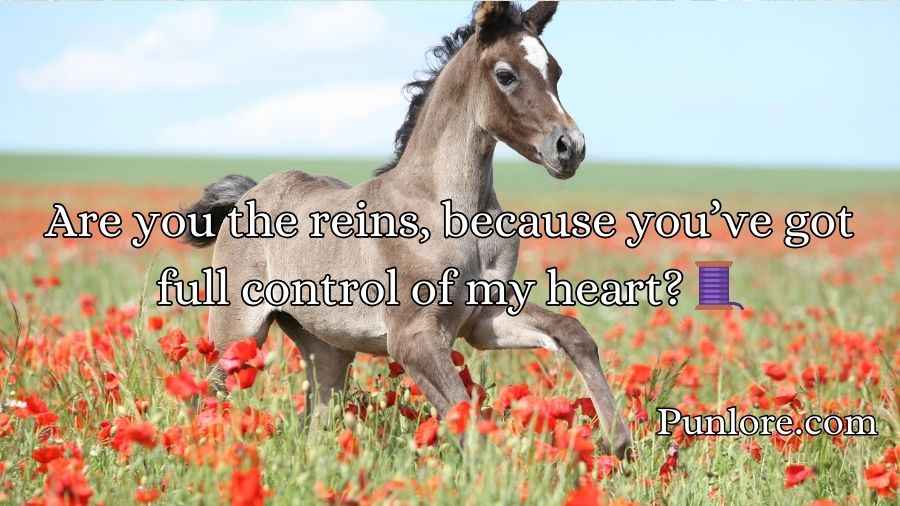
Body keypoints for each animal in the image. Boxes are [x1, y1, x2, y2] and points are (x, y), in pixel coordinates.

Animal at [181, 1, 632, 458]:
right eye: (506, 74)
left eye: (556, 71)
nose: (570, 147)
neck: (449, 210)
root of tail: (249, 192)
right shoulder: (412, 338)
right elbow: (462, 411)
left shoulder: (483, 319)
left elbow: (572, 333)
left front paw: (617, 444)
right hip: (238, 333)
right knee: (208, 393)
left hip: (327, 349)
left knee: (316, 421)